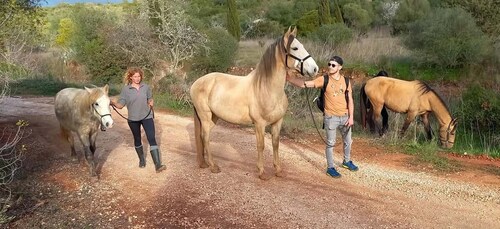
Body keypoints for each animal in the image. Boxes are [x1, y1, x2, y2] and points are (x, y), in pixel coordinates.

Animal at [189, 27, 318, 179]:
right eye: (295, 48)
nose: (315, 69)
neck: (267, 88)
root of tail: (197, 82)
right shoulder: (259, 124)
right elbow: (261, 146)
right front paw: (262, 172)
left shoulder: (277, 122)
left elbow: (275, 144)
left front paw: (278, 170)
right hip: (205, 116)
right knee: (205, 137)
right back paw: (213, 166)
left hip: (213, 117)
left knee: (203, 136)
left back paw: (205, 163)